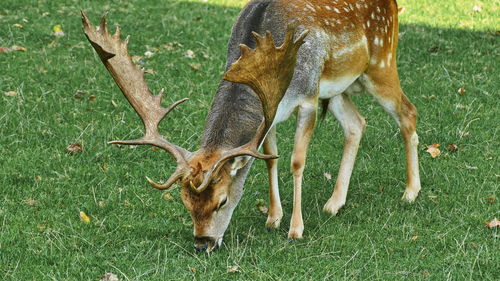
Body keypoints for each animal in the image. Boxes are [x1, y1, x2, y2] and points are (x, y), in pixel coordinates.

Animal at [80, 0, 420, 252]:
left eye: (222, 201)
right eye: (185, 202)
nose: (202, 244)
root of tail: (393, 4)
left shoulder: (308, 97)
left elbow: (297, 161)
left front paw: (295, 229)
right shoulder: (272, 113)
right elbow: (270, 158)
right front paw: (272, 218)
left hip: (380, 61)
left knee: (408, 111)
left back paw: (410, 193)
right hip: (338, 88)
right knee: (357, 123)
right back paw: (334, 203)